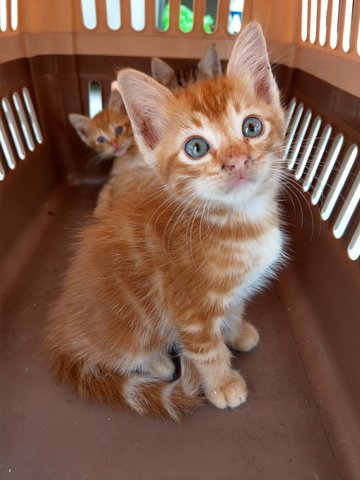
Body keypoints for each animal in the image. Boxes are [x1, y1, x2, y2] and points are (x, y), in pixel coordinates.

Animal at [46, 23, 286, 420]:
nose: (237, 161)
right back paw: (158, 363)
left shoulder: (233, 290)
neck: (237, 218)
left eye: (252, 127)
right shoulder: (189, 310)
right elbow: (206, 350)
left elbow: (234, 310)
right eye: (196, 148)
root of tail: (62, 338)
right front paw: (223, 384)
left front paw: (238, 332)